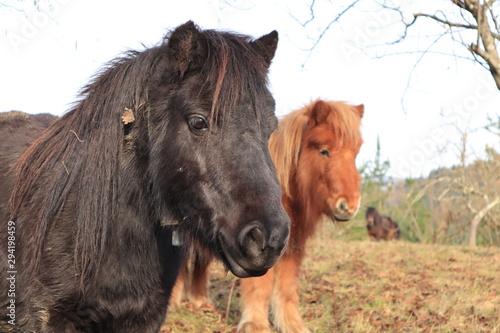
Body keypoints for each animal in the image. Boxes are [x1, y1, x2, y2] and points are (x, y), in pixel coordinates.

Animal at [172, 100, 364, 330]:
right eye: (324, 151)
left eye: (355, 153)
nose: (349, 205)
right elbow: (259, 286)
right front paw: (255, 325)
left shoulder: (293, 248)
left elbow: (287, 288)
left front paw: (292, 324)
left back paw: (200, 302)